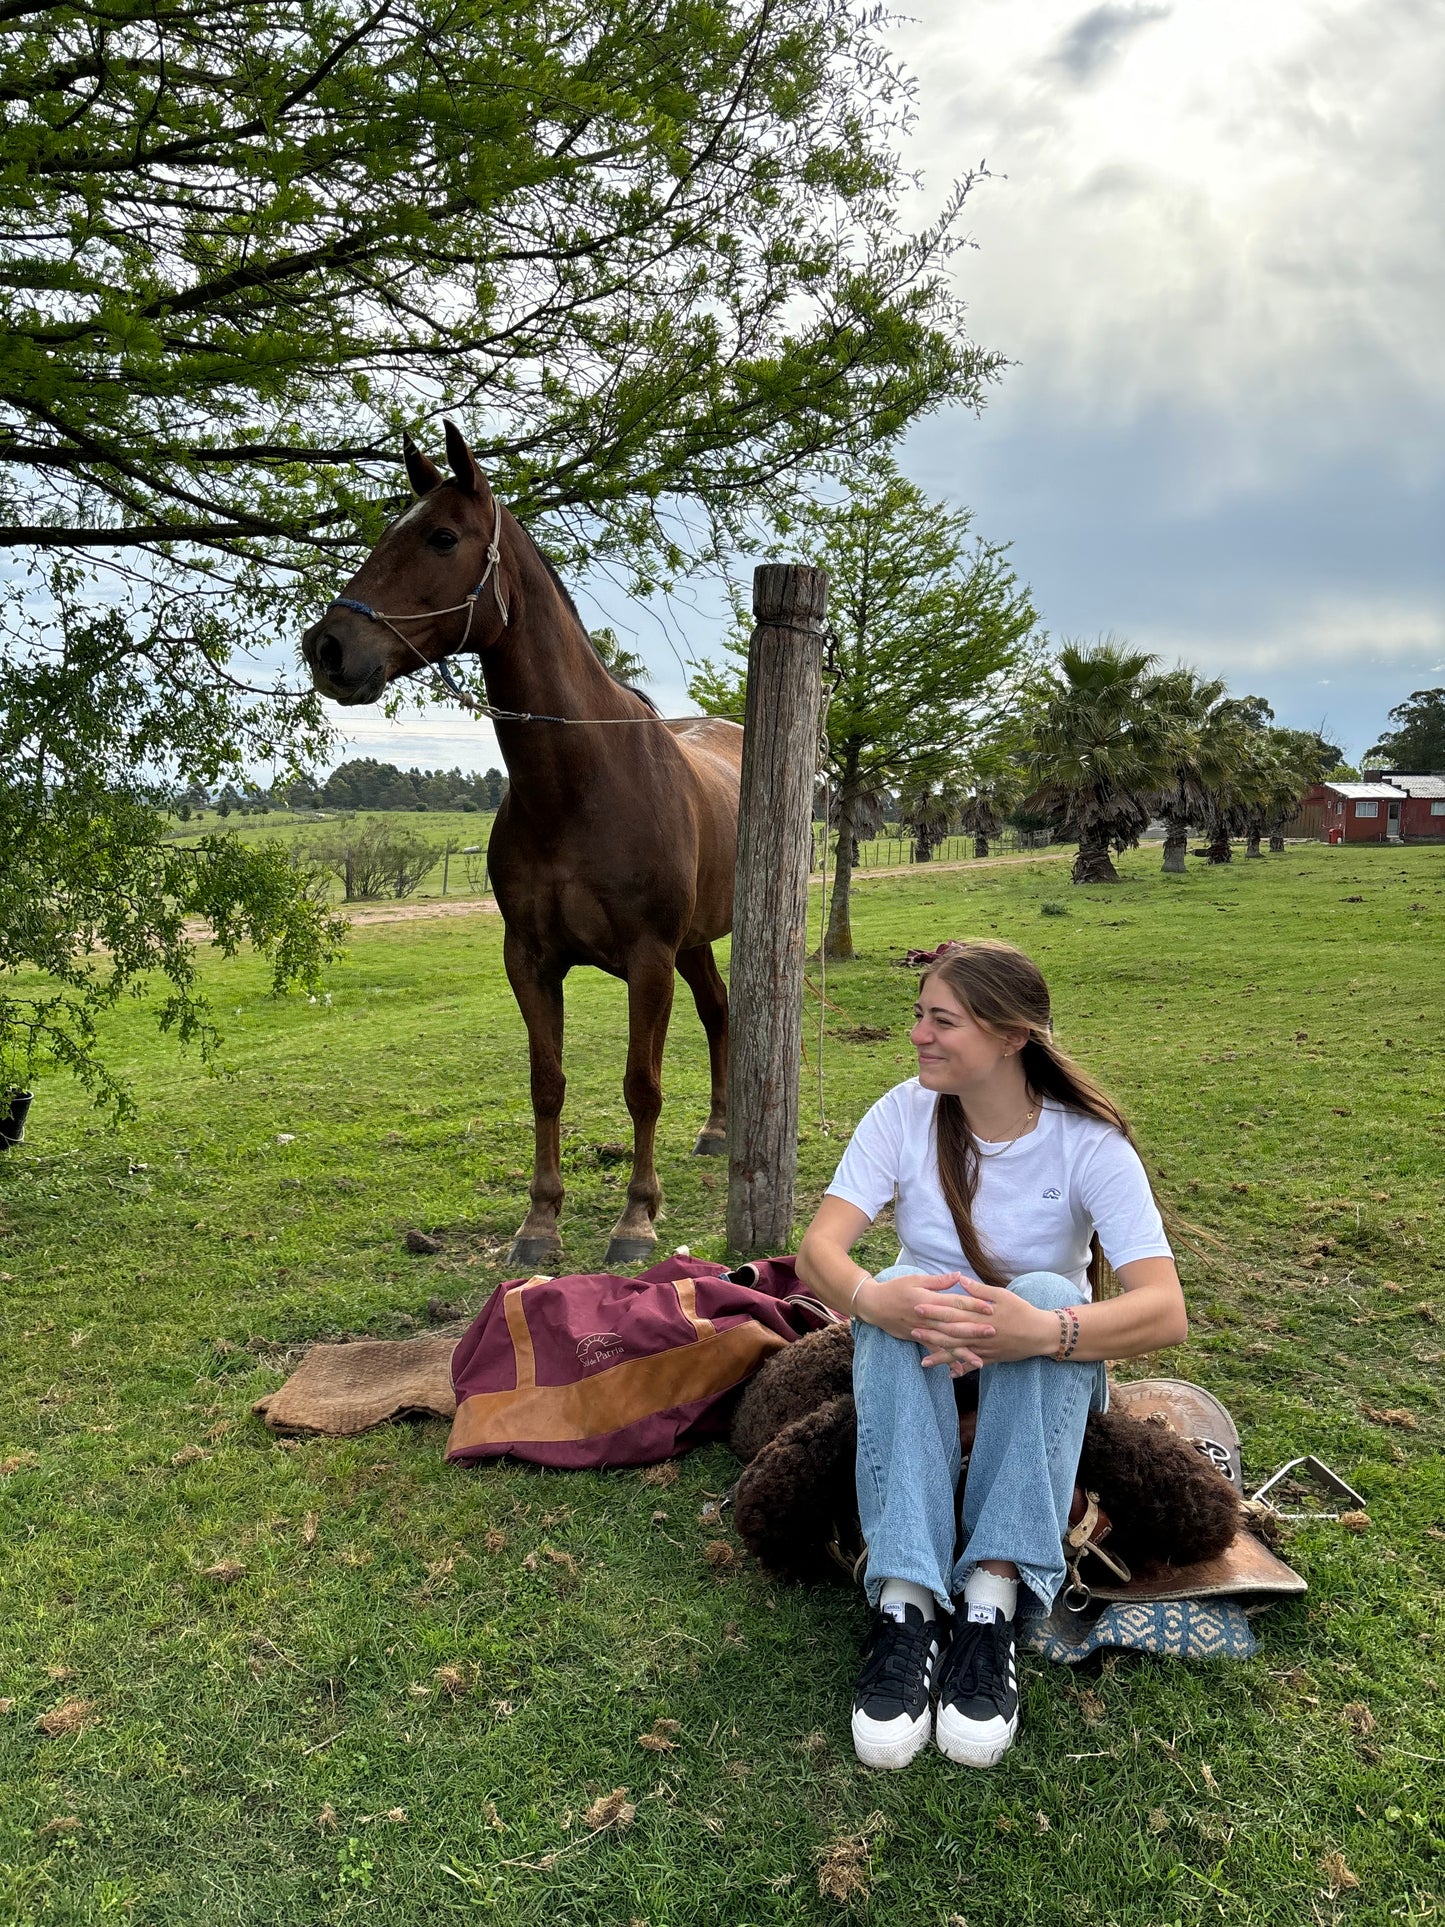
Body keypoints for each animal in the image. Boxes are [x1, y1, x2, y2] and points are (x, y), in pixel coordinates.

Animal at [300, 422, 739, 1264]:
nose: (328, 647)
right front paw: (539, 1221)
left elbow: (641, 1083)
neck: (581, 782)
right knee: (718, 1013)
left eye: (442, 536)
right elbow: (547, 1083)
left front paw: (635, 1217)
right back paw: (715, 1129)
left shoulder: (647, 959)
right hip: (695, 943)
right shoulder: (530, 960)